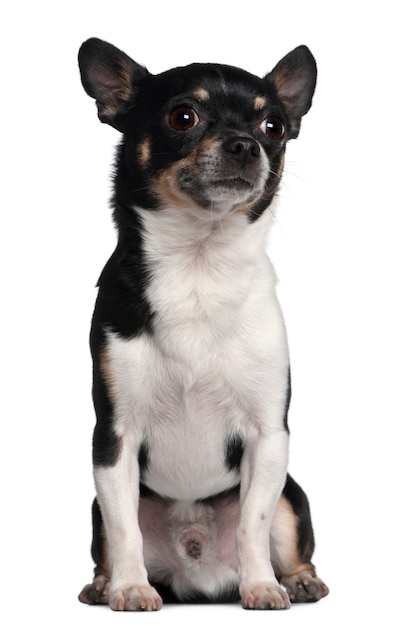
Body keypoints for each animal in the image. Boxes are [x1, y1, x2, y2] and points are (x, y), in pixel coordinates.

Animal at [78, 36, 330, 608]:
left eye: (273, 126)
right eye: (182, 117)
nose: (245, 145)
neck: (199, 265)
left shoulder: (268, 437)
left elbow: (253, 523)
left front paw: (261, 587)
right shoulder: (114, 437)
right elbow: (124, 527)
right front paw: (130, 589)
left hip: (291, 492)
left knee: (287, 533)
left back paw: (298, 579)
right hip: (98, 506)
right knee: (111, 534)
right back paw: (107, 582)